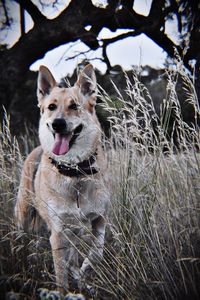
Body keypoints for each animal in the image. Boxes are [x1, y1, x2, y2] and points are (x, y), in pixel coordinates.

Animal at [14, 63, 109, 292]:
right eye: (51, 107)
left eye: (74, 106)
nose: (57, 123)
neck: (74, 172)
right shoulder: (58, 233)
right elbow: (61, 275)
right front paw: (65, 291)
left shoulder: (100, 219)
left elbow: (97, 252)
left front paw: (83, 274)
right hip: (24, 216)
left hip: (75, 230)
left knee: (74, 254)